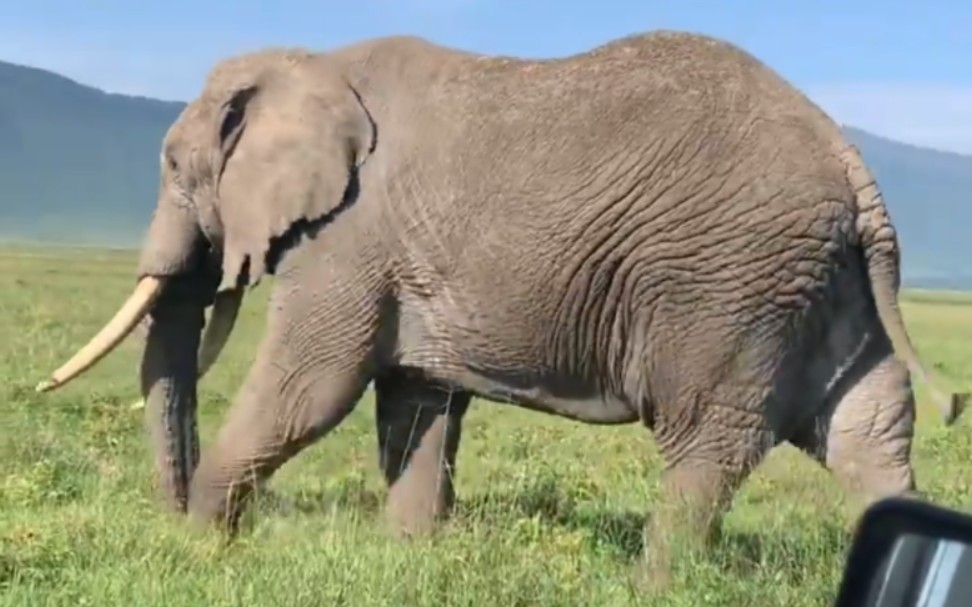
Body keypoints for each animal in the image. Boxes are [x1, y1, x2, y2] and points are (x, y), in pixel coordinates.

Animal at [34, 30, 968, 588]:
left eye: (173, 167)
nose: (169, 526)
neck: (312, 61)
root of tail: (852, 164)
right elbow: (415, 404)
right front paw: (408, 561)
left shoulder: (348, 237)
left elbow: (311, 388)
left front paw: (201, 549)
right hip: (825, 281)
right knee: (867, 428)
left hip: (731, 281)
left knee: (708, 437)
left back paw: (653, 588)